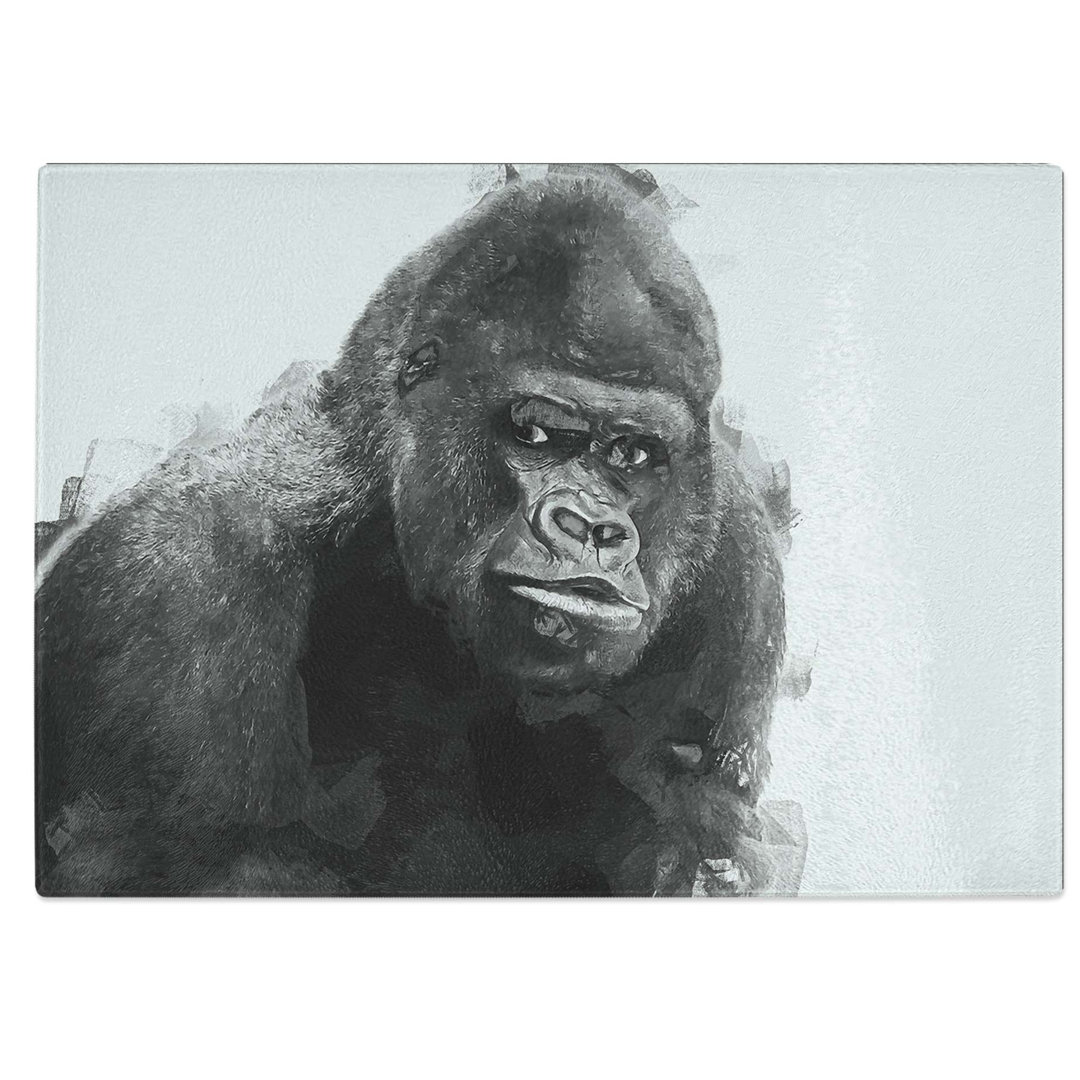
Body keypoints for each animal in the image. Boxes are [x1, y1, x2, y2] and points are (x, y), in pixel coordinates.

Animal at [36, 166, 788, 896]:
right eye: (535, 433)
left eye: (632, 453)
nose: (595, 529)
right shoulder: (177, 578)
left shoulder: (739, 559)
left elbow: (695, 839)